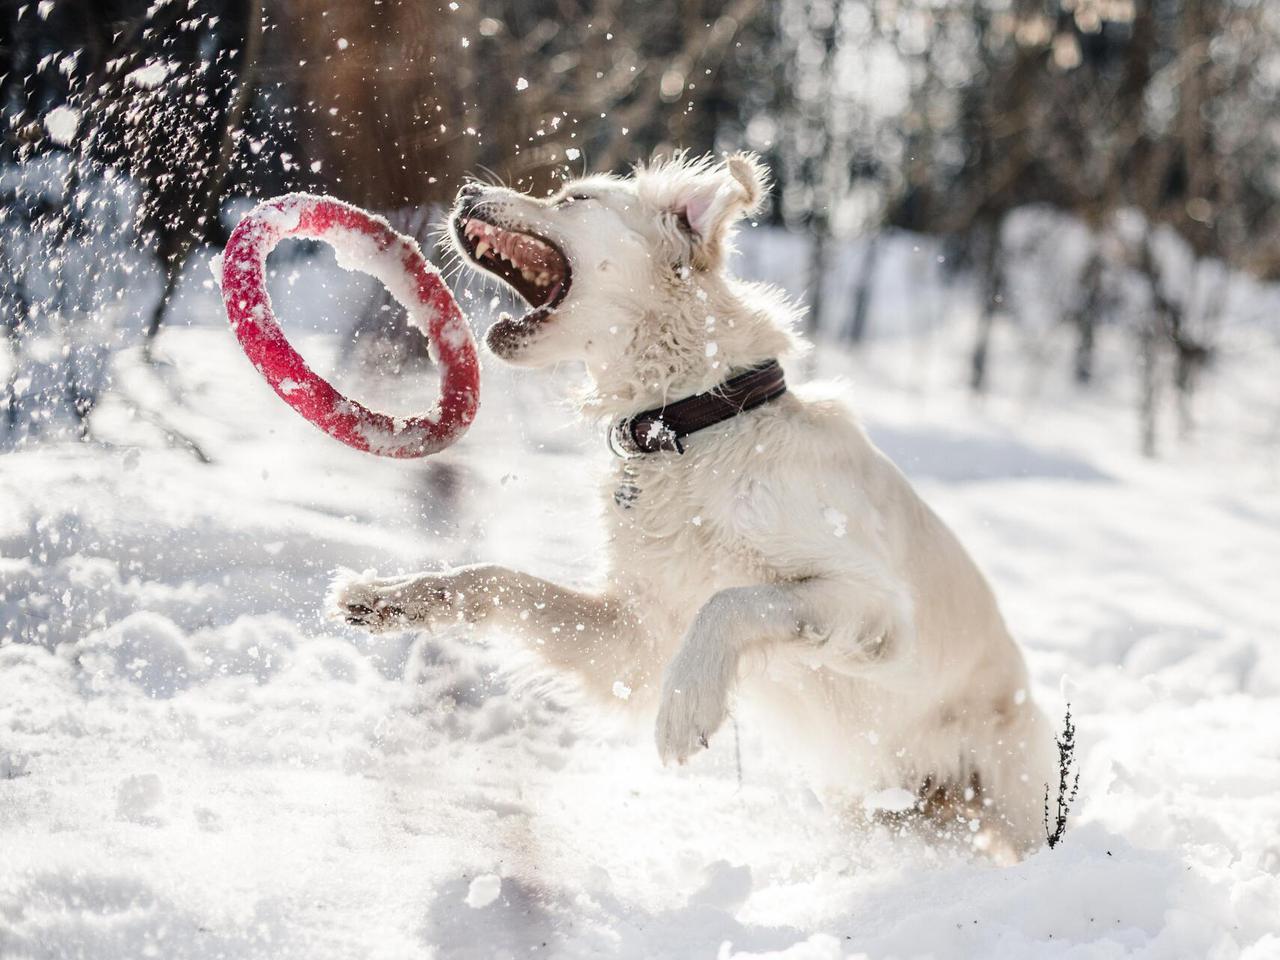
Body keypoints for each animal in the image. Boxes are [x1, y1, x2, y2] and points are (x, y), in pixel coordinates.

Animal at [325, 154, 1054, 860]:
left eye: (574, 199)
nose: (466, 191)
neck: (693, 424)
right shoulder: (637, 637)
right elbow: (495, 578)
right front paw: (389, 598)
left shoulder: (876, 607)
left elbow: (731, 601)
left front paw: (686, 709)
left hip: (1010, 793)